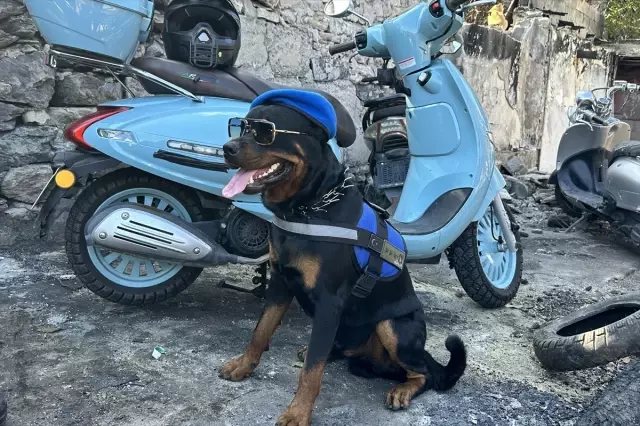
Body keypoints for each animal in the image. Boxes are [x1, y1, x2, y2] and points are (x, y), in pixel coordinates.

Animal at [219, 96, 464, 426]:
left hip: (392, 326)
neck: (308, 207)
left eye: (265, 131)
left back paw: (403, 389)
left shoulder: (329, 301)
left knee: (423, 374)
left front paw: (298, 412)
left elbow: (312, 371)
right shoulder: (281, 283)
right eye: (240, 126)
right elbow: (260, 331)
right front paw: (243, 365)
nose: (227, 148)